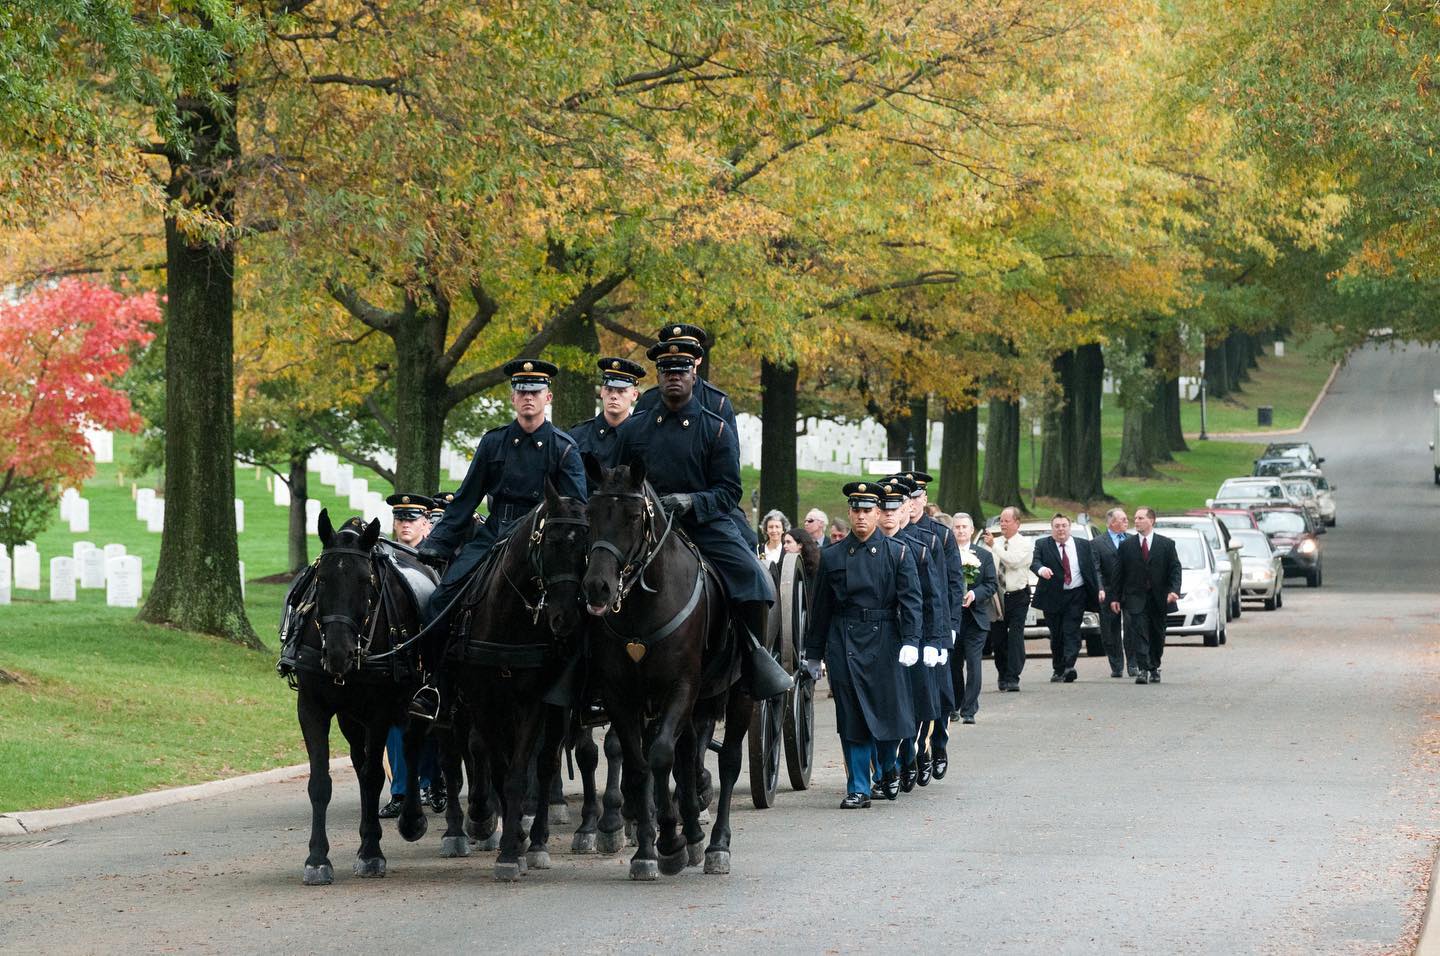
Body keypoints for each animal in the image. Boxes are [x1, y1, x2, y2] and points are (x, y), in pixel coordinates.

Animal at [289, 512, 429, 886]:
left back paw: (412, 819)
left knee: (412, 749)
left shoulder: (379, 712)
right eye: (321, 579)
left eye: (367, 582)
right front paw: (317, 858)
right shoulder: (312, 708)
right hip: (350, 717)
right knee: (360, 758)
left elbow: (373, 776)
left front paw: (370, 851)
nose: (339, 653)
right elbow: (320, 782)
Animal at [443, 486, 590, 881]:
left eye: (588, 549)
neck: (507, 619)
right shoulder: (481, 701)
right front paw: (496, 829)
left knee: (547, 764)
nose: (566, 618)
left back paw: (538, 841)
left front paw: (512, 851)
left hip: (557, 711)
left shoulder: (531, 703)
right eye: (553, 541)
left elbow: (517, 774)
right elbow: (495, 764)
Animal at [578, 460, 754, 875]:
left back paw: (717, 844)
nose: (597, 587)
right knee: (688, 753)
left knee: (729, 760)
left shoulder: (681, 687)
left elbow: (659, 755)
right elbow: (639, 765)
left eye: (631, 516)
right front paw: (648, 847)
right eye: (589, 514)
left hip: (738, 693)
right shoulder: (622, 696)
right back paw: (691, 826)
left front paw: (670, 841)